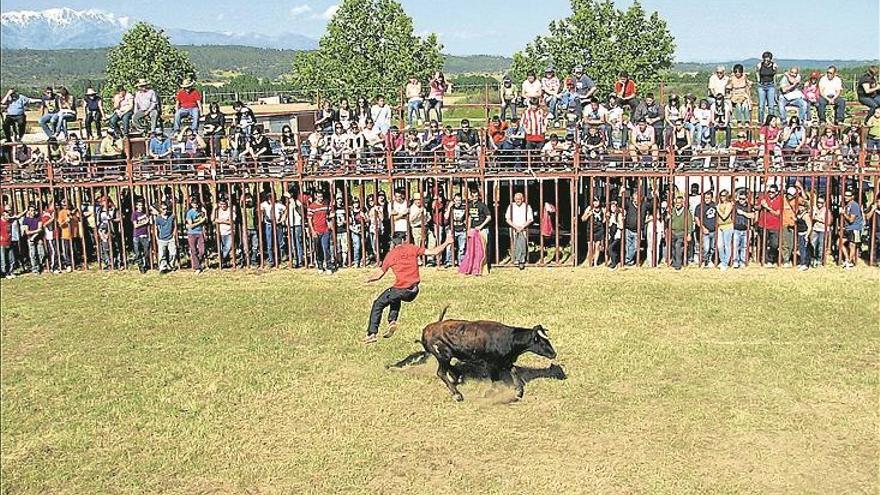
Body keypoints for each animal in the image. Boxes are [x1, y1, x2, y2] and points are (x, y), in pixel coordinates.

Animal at [390, 310, 556, 404]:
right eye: (542, 341)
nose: (554, 353)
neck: (509, 339)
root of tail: (427, 330)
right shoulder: (491, 364)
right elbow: (495, 380)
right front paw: (490, 393)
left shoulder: (505, 362)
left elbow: (514, 372)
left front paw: (519, 391)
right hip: (443, 355)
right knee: (441, 372)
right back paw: (457, 395)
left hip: (445, 357)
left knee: (449, 368)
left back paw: (457, 376)